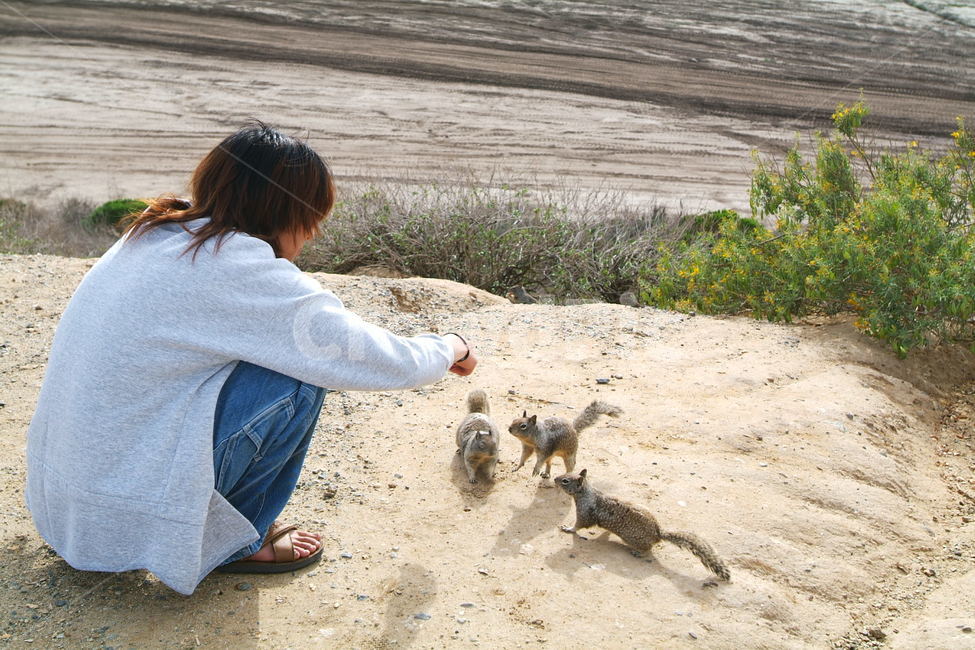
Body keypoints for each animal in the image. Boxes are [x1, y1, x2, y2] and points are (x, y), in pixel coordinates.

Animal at [555, 469, 731, 581]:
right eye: (565, 475)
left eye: (565, 481)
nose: (555, 478)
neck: (586, 492)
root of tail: (658, 533)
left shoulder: (584, 513)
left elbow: (579, 525)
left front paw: (568, 528)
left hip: (632, 539)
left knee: (648, 549)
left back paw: (638, 553)